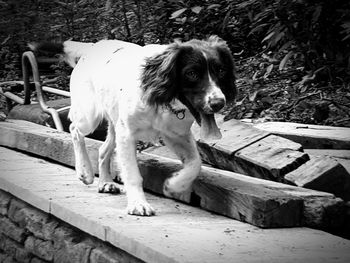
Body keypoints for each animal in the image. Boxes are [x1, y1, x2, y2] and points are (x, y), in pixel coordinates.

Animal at [31, 35, 237, 217]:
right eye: (192, 73)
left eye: (221, 71)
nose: (219, 103)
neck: (161, 97)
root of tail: (92, 47)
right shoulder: (127, 134)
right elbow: (132, 174)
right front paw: (138, 204)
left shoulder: (176, 135)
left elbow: (196, 164)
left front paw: (174, 185)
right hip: (90, 115)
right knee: (74, 129)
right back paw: (84, 171)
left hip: (114, 123)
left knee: (103, 149)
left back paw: (105, 183)